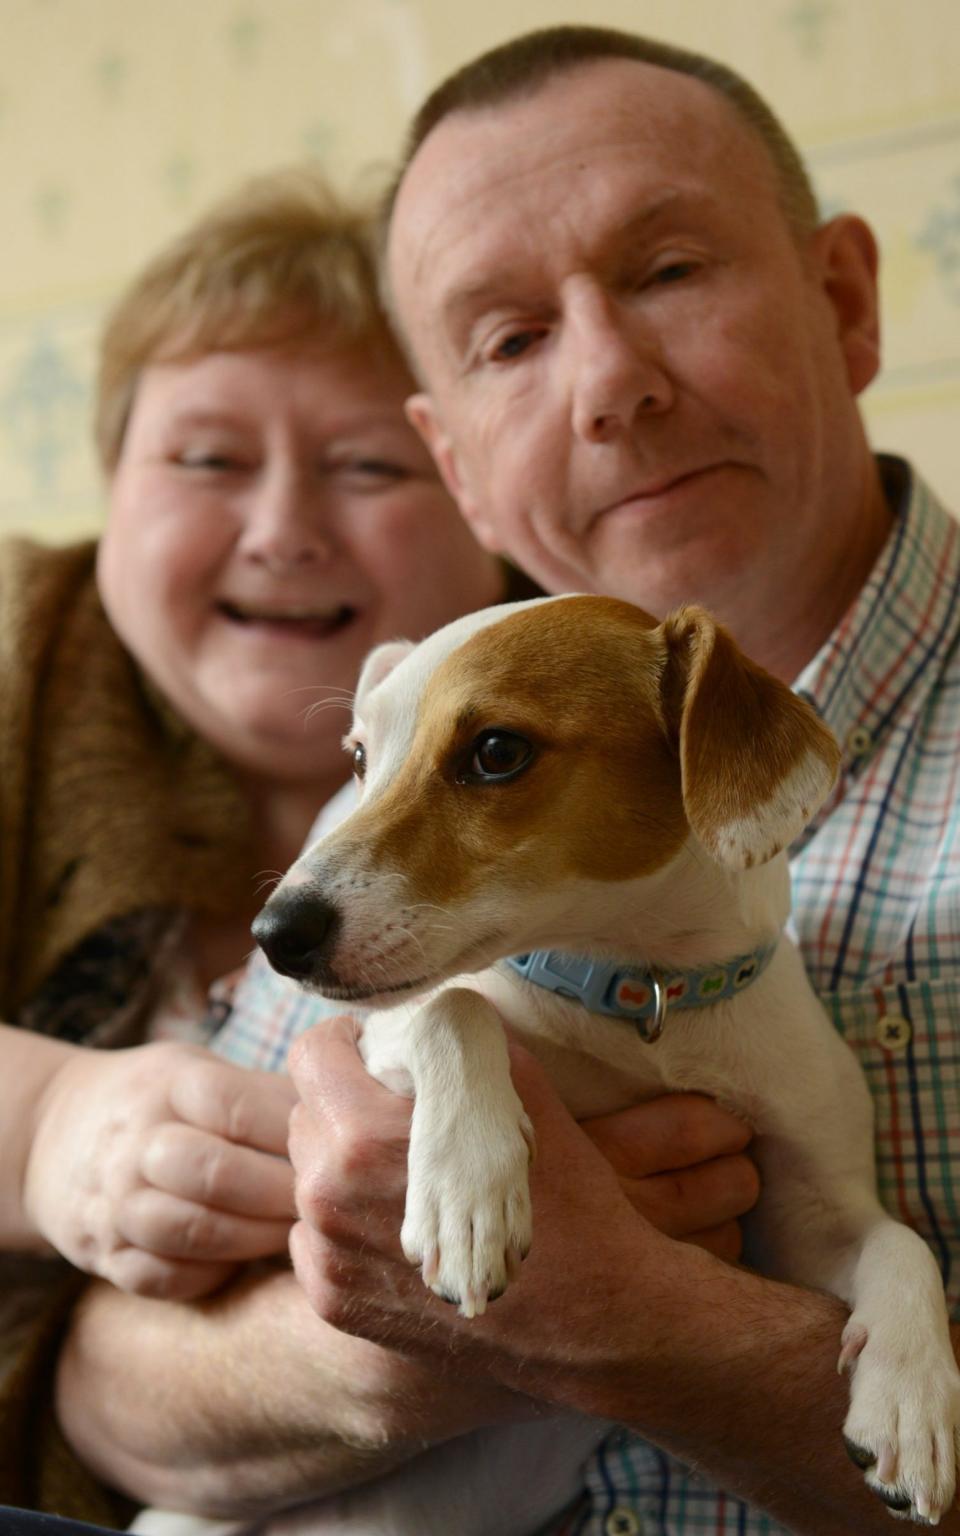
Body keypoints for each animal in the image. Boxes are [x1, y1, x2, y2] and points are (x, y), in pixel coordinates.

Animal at [253, 595, 958, 1523]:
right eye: (362, 759)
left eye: (496, 752)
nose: (275, 934)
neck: (637, 993)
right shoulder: (379, 1038)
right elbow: (454, 1005)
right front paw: (467, 1191)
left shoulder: (805, 1221)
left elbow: (904, 1248)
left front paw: (914, 1401)